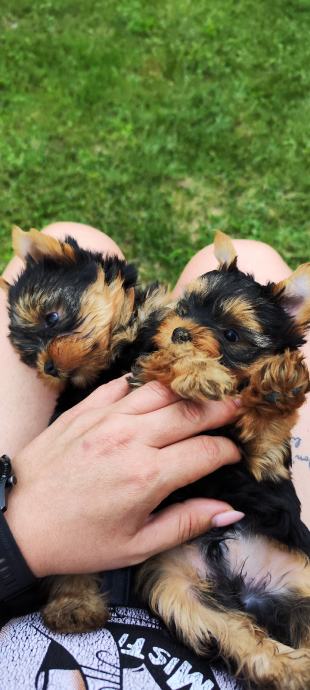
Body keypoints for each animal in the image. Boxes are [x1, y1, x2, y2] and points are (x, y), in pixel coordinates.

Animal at [2, 228, 310, 684]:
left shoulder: (259, 469)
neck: (122, 349)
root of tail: (247, 590)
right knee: (239, 637)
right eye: (25, 352)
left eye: (52, 318)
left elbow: (263, 445)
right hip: (177, 587)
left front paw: (237, 380)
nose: (47, 368)